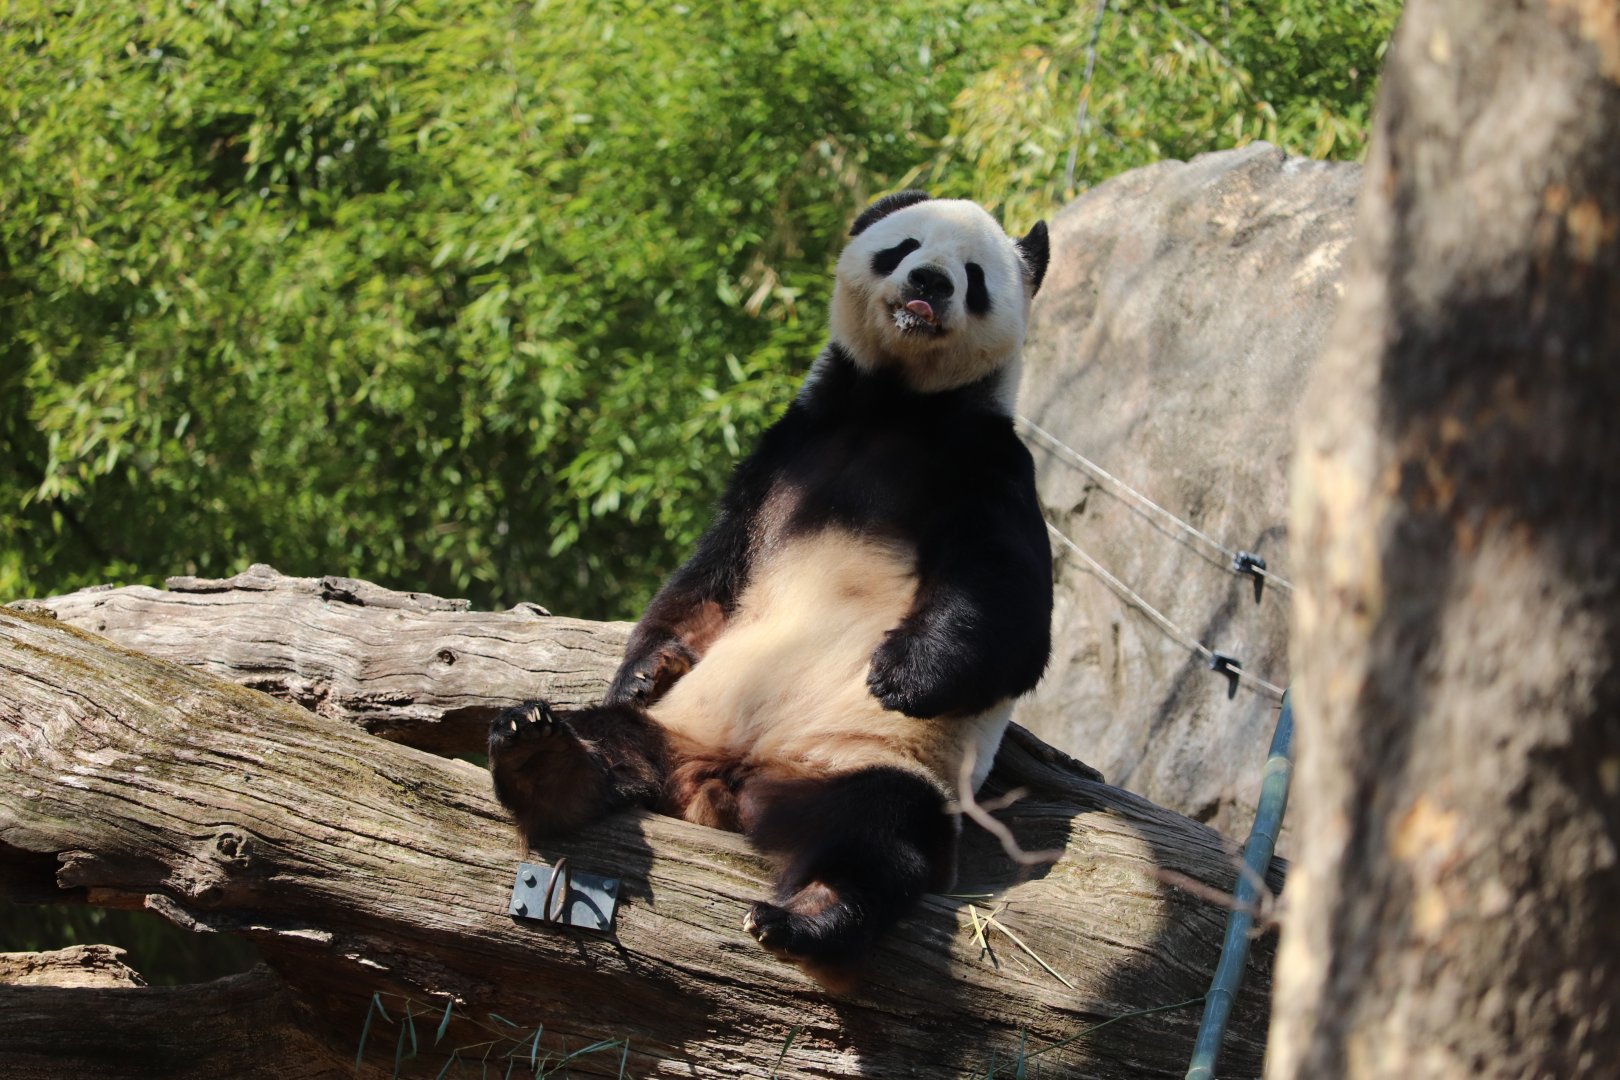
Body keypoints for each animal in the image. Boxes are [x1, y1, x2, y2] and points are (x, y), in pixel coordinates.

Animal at [490, 190, 1053, 990]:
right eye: (906, 246)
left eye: (973, 276)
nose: (930, 283)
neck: (896, 404)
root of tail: (716, 784)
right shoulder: (783, 455)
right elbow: (710, 575)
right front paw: (643, 669)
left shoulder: (990, 465)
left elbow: (1011, 611)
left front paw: (903, 674)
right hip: (680, 726)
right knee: (608, 740)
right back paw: (539, 754)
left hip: (866, 758)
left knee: (876, 833)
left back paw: (806, 918)